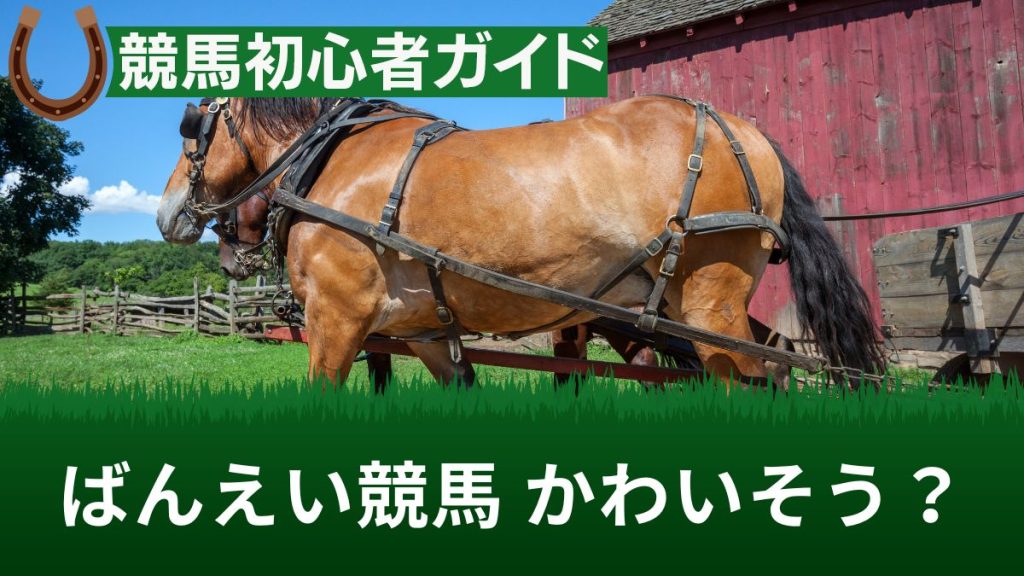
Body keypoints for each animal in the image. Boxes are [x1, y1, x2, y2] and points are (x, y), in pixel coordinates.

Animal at [158, 96, 882, 386]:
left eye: (193, 127)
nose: (166, 213)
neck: (329, 159)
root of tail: (740, 127)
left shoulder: (337, 320)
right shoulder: (427, 333)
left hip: (708, 298)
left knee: (749, 378)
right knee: (777, 356)